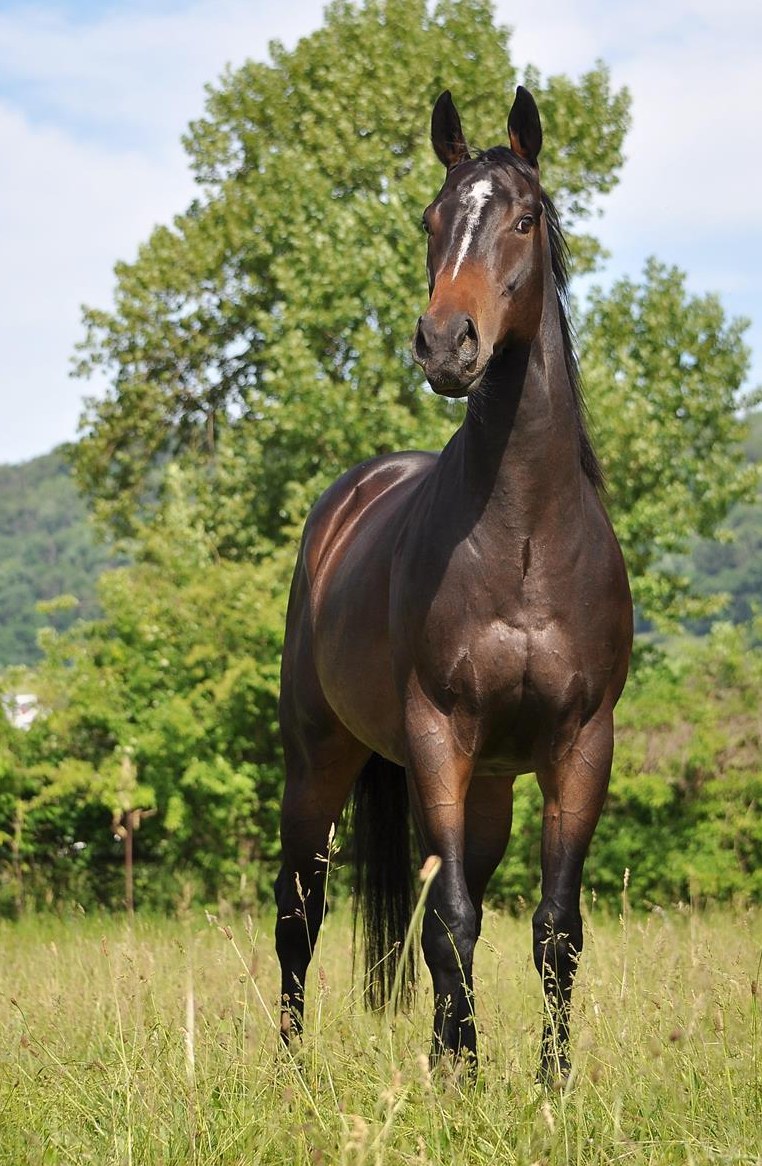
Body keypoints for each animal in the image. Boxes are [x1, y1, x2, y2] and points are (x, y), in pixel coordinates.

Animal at [275, 85, 632, 1082]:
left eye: (526, 217)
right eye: (432, 220)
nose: (445, 343)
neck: (525, 538)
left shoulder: (581, 747)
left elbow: (555, 929)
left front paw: (548, 1081)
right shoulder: (438, 735)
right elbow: (450, 920)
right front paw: (463, 1075)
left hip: (492, 789)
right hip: (316, 762)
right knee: (300, 913)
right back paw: (290, 1069)